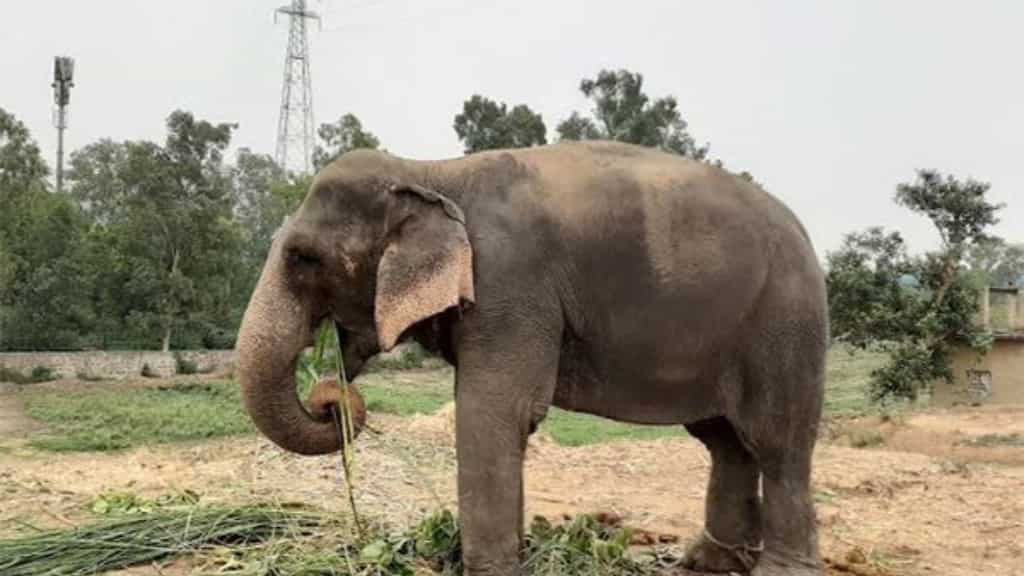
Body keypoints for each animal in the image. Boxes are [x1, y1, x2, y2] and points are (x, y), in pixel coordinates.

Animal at [236, 140, 827, 576]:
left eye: (304, 258)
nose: (331, 395)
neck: (431, 171)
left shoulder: (510, 283)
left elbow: (495, 412)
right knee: (725, 441)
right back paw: (708, 562)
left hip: (785, 327)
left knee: (777, 443)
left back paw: (777, 569)